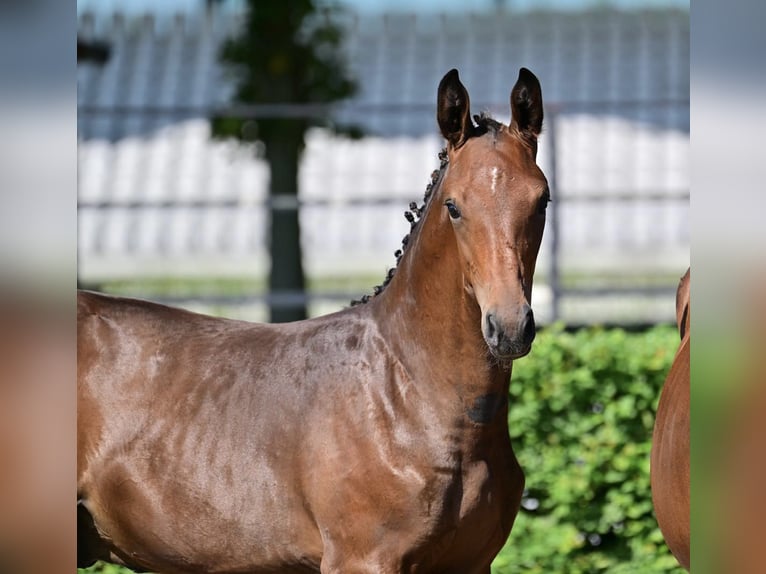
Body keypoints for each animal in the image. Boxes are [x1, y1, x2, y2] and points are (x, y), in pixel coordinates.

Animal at [78, 68, 548, 574]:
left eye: (541, 201)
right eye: (454, 207)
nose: (509, 327)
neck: (408, 397)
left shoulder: (470, 564)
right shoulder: (361, 560)